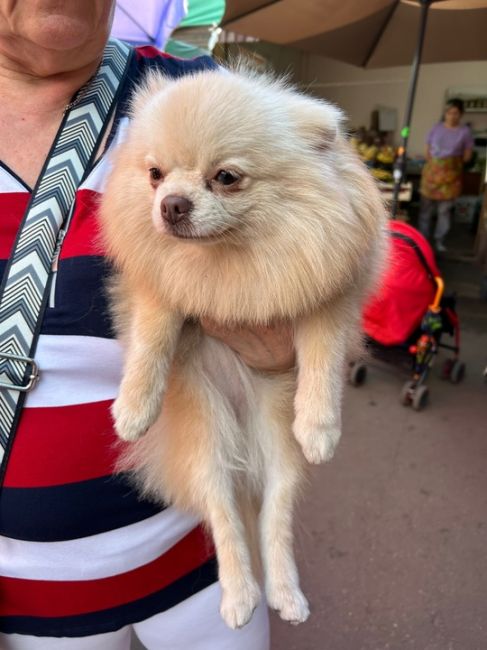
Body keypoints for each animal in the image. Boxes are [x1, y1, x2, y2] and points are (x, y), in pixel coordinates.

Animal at [100, 67, 388, 628]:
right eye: (155, 174)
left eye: (226, 177)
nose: (171, 204)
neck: (230, 257)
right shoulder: (162, 290)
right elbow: (152, 341)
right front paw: (133, 408)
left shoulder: (326, 299)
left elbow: (321, 361)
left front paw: (320, 426)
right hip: (204, 432)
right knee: (223, 511)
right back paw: (238, 594)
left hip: (276, 439)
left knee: (275, 512)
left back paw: (283, 593)